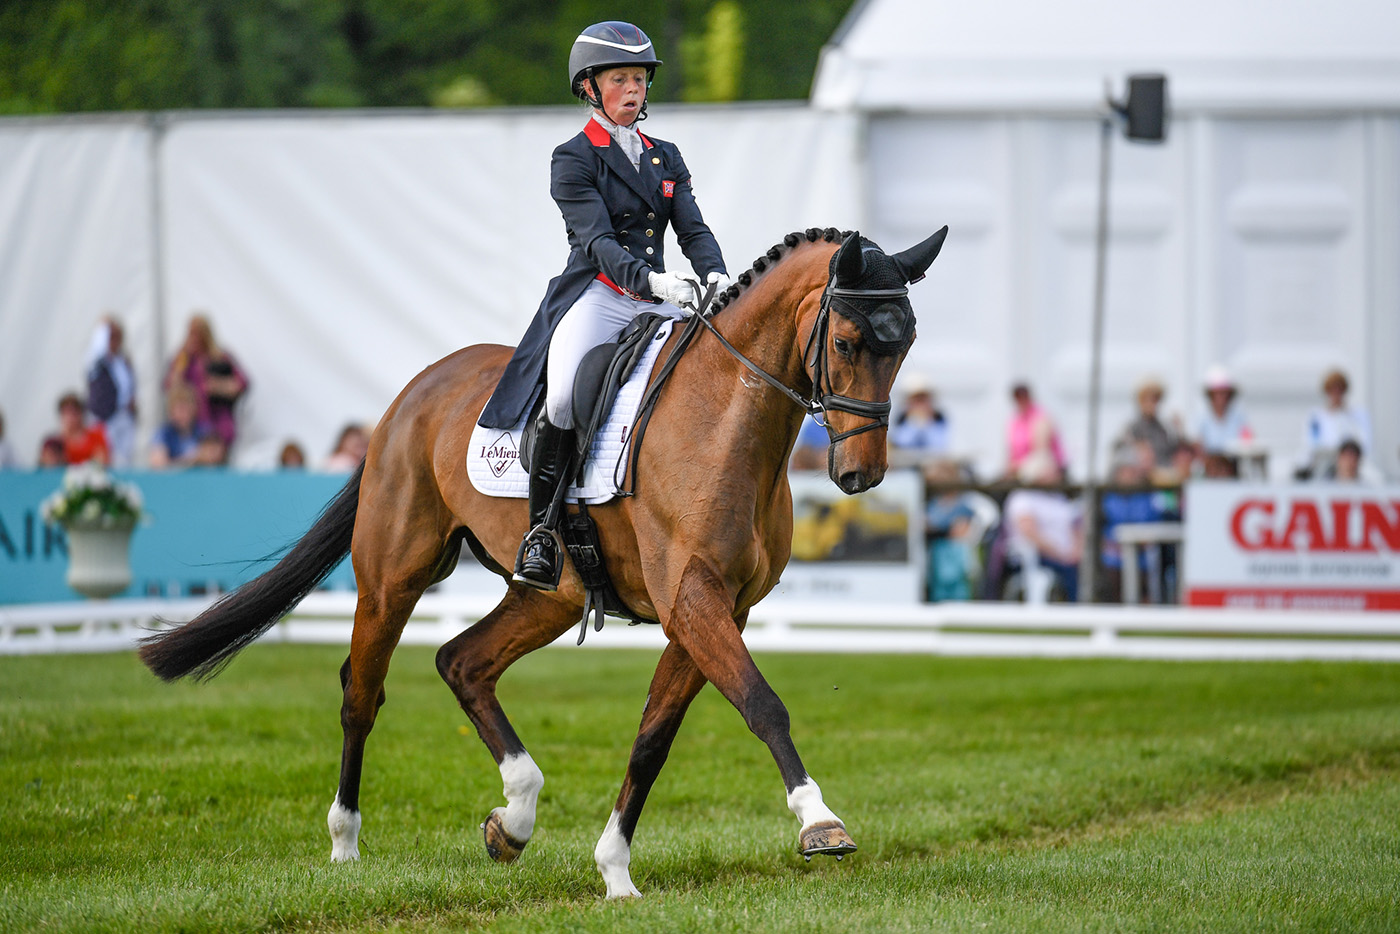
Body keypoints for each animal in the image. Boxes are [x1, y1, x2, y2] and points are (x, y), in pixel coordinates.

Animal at [139, 224, 948, 899]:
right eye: (846, 343)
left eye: (905, 344)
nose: (862, 475)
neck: (722, 418)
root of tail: (413, 392)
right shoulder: (693, 598)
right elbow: (762, 702)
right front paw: (819, 822)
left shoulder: (719, 608)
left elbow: (654, 738)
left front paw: (615, 872)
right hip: (393, 577)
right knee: (360, 692)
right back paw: (345, 845)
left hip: (548, 593)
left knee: (463, 662)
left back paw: (515, 816)